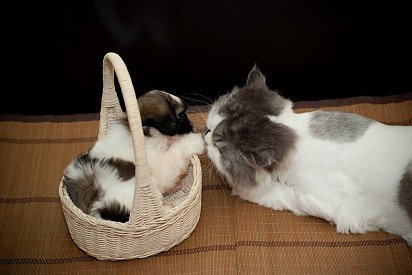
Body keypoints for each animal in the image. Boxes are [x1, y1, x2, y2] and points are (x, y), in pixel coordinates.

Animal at [63, 90, 205, 224]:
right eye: (181, 115)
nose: (191, 123)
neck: (143, 132)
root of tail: (98, 211)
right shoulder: (162, 168)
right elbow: (178, 150)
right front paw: (197, 140)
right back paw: (169, 207)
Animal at [205, 66, 412, 246]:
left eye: (219, 143)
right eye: (210, 125)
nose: (206, 136)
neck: (297, 139)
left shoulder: (327, 204)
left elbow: (277, 194)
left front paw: (243, 190)